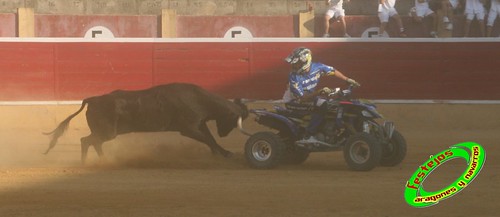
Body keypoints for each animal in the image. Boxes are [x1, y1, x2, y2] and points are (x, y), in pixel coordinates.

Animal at [45, 83, 250, 163]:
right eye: (234, 120)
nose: (223, 133)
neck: (200, 99)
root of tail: (93, 99)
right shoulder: (189, 128)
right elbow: (209, 139)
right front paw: (225, 153)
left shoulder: (199, 124)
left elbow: (210, 139)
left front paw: (220, 153)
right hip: (107, 132)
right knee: (87, 141)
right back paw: (89, 162)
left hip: (106, 132)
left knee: (91, 142)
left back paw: (103, 160)